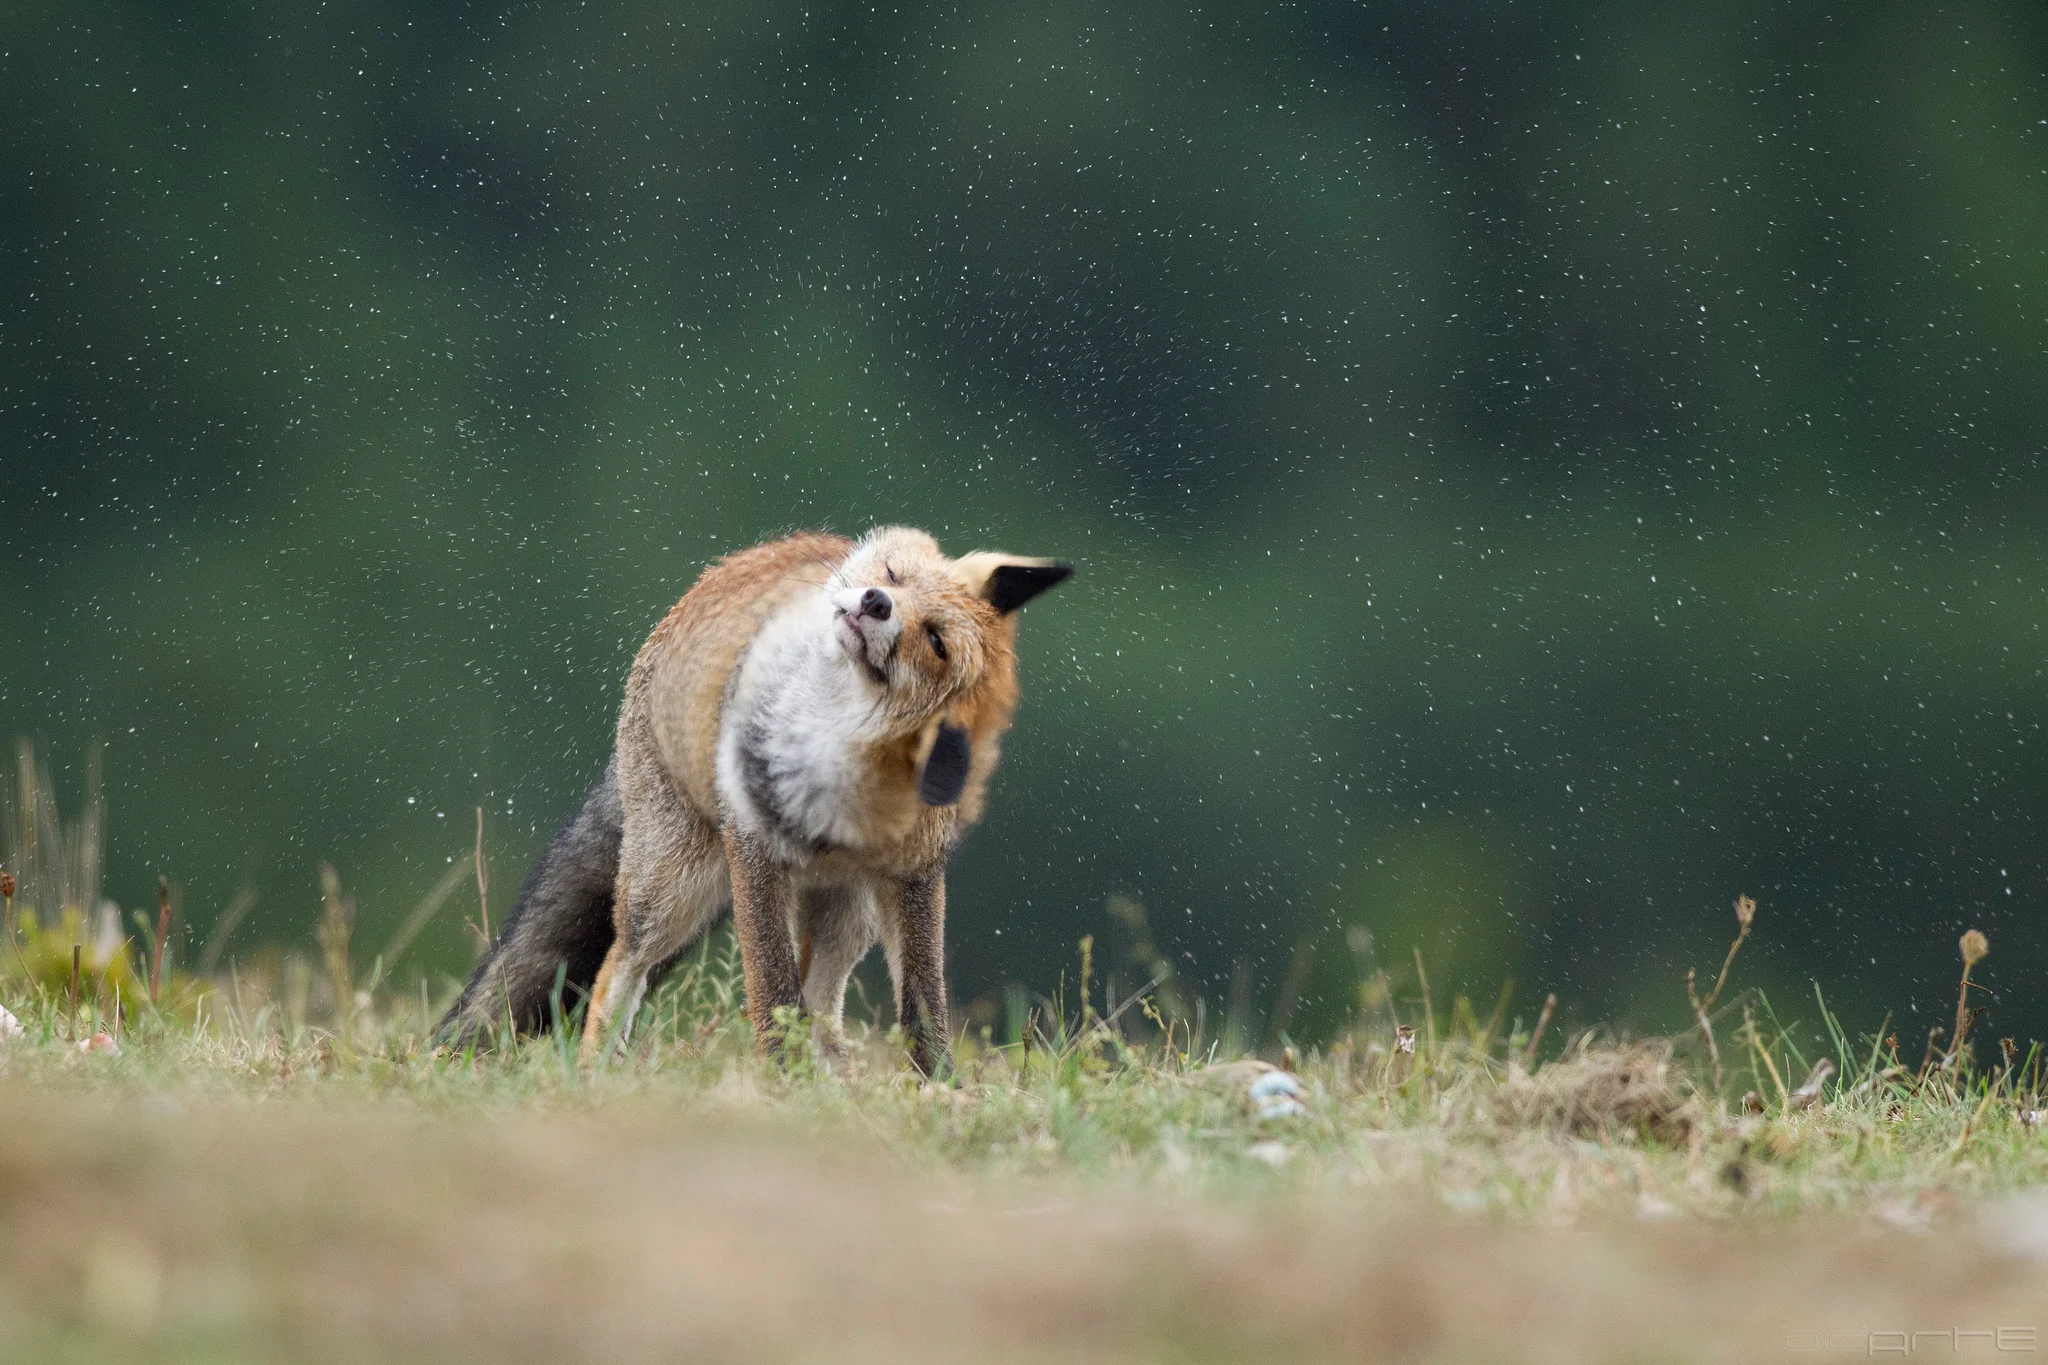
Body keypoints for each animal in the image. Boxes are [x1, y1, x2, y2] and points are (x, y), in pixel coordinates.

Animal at [436, 525, 1071, 1074]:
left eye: (935, 640)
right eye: (894, 574)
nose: (875, 602)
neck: (837, 760)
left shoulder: (915, 877)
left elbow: (923, 1009)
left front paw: (939, 1090)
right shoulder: (755, 852)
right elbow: (772, 989)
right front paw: (782, 1084)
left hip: (850, 913)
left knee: (823, 1006)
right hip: (674, 891)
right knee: (619, 967)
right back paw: (596, 1076)